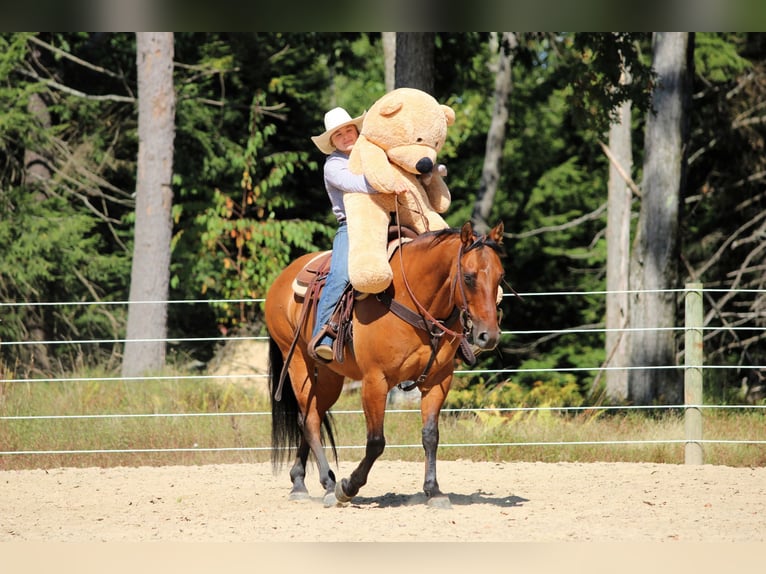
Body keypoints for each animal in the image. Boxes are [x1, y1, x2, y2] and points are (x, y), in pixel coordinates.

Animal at [265, 221, 505, 508]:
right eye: (468, 277)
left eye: (500, 277)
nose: (489, 336)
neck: (413, 300)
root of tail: (283, 277)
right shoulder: (374, 381)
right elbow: (376, 441)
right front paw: (348, 486)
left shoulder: (438, 380)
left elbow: (430, 435)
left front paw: (434, 490)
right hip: (298, 363)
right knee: (310, 421)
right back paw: (329, 485)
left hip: (329, 376)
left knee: (310, 416)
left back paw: (299, 482)